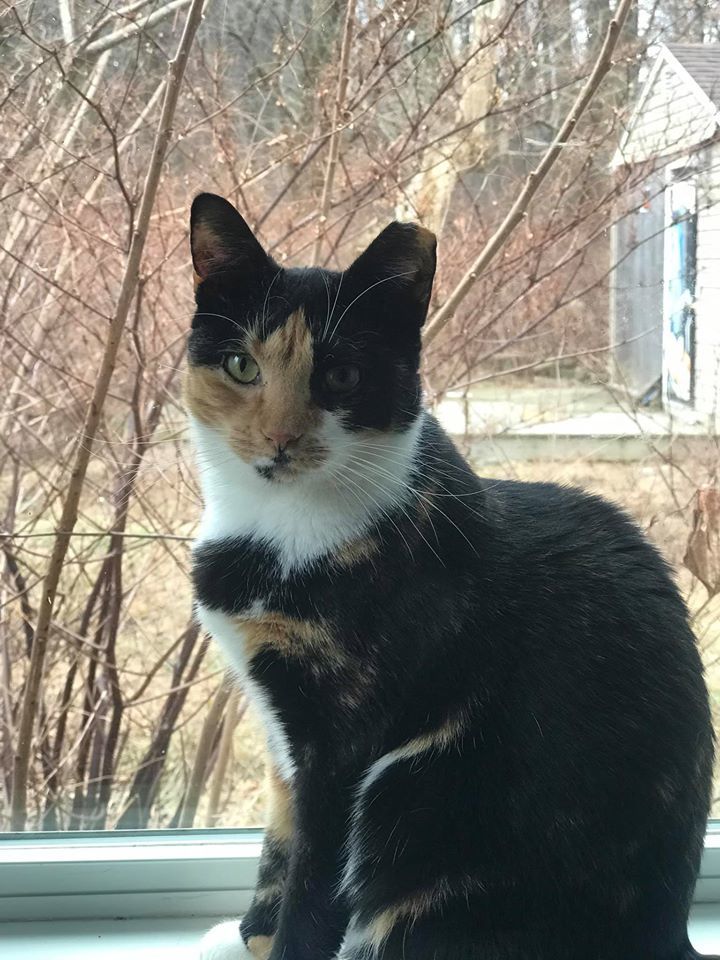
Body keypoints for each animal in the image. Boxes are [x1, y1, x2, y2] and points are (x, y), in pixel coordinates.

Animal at [188, 193, 716, 960]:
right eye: (240, 365)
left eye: (342, 377)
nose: (280, 439)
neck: (280, 529)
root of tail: (669, 934)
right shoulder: (282, 734)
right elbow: (278, 846)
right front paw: (248, 936)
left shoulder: (343, 744)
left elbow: (310, 885)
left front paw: (279, 940)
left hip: (415, 809)